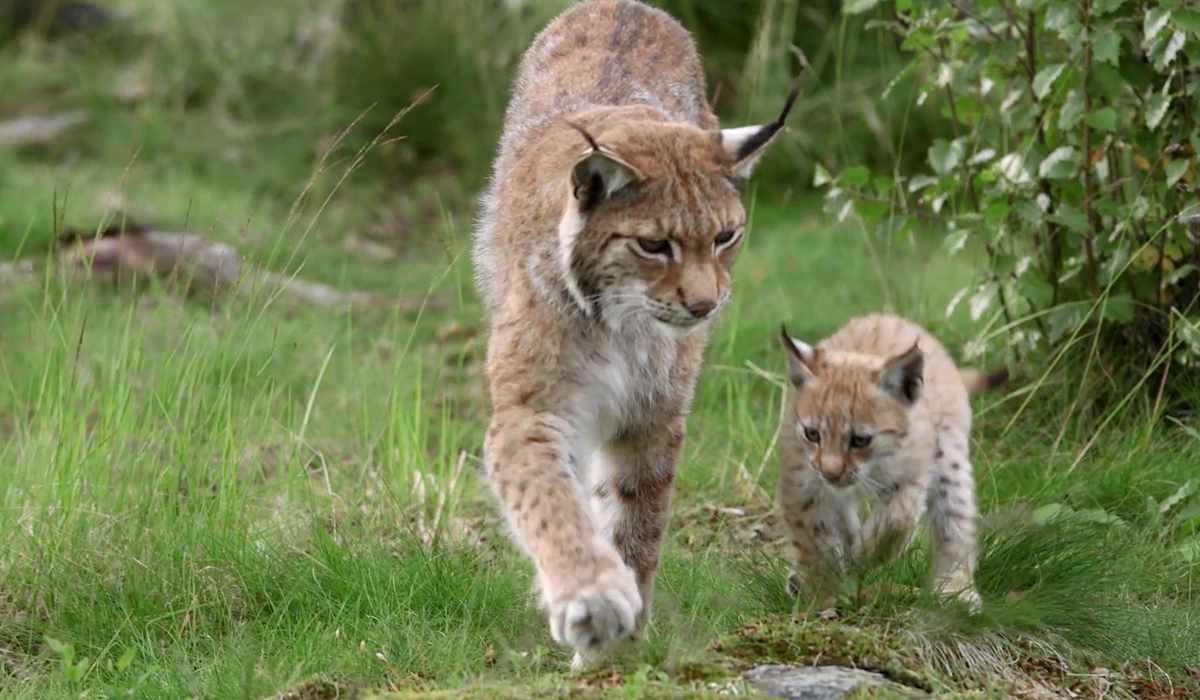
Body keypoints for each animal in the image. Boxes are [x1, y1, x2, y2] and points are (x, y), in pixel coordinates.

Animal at [470, 0, 796, 667]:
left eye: (726, 236)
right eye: (653, 245)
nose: (704, 305)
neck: (623, 326)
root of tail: (624, 5)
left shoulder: (655, 409)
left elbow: (636, 517)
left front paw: (615, 650)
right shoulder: (531, 407)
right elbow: (550, 500)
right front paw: (591, 596)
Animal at [772, 314, 1008, 609]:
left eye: (860, 440)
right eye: (812, 434)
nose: (830, 472)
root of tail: (892, 318)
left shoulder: (913, 474)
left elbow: (897, 518)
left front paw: (863, 554)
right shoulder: (802, 484)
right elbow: (814, 541)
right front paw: (821, 595)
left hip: (949, 458)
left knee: (955, 522)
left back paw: (956, 590)